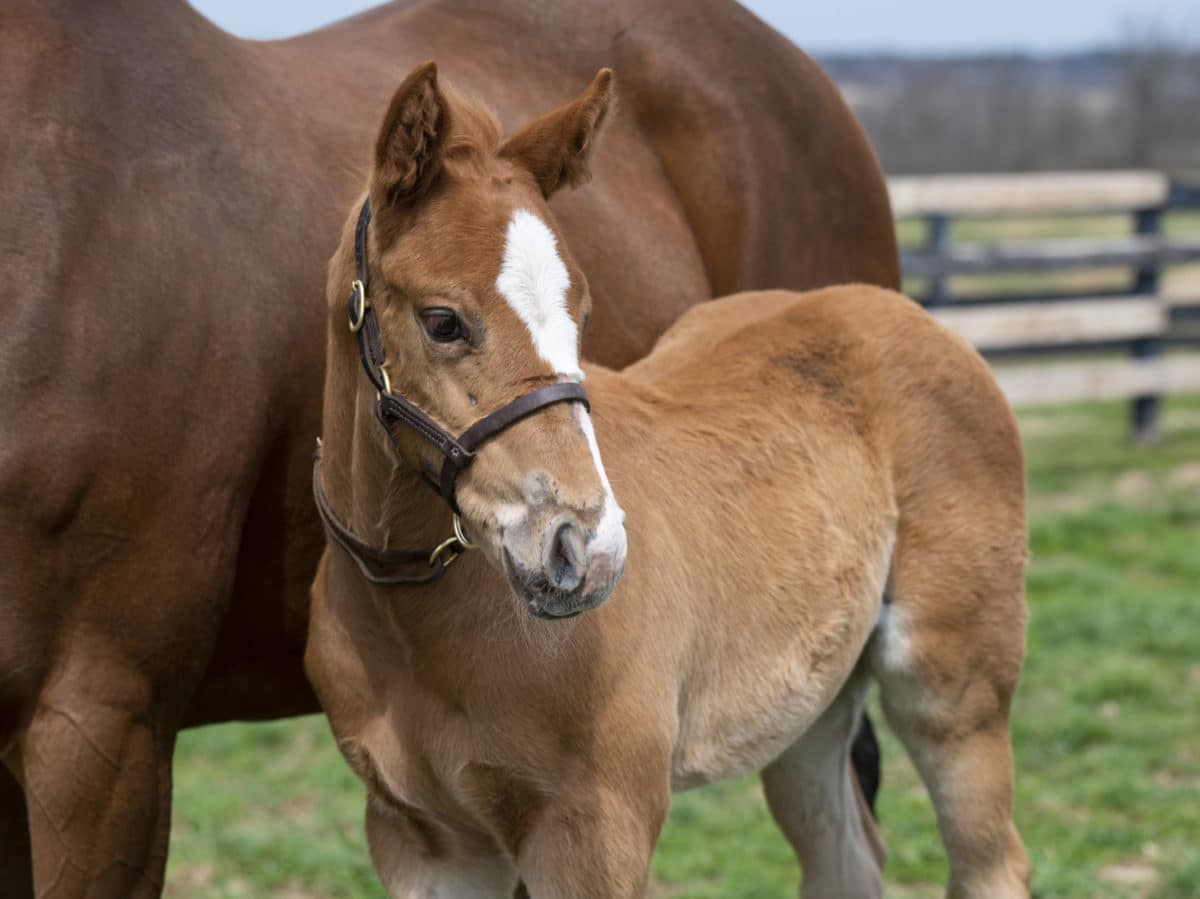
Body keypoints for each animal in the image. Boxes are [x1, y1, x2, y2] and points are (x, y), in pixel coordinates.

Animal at [309, 64, 1032, 897]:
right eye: (442, 320)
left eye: (583, 312)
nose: (585, 549)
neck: (415, 622)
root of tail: (908, 314)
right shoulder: (422, 841)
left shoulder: (596, 831)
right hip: (808, 707)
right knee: (847, 858)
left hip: (951, 687)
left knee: (991, 857)